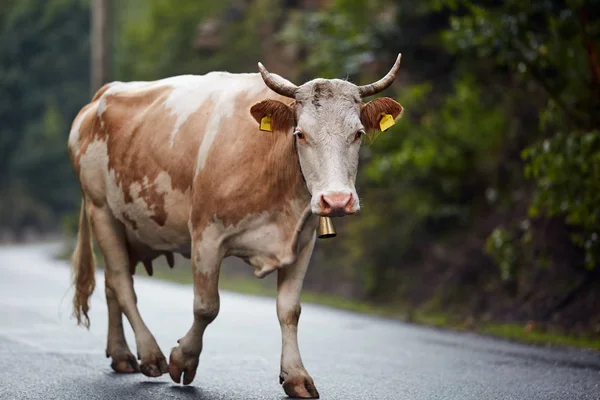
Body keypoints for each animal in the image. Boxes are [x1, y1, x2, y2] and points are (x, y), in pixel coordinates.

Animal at [67, 54, 404, 398]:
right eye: (300, 133)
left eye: (358, 133)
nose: (336, 200)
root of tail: (100, 97)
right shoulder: (206, 235)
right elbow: (206, 306)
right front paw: (183, 359)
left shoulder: (303, 242)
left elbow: (289, 309)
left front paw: (296, 376)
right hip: (101, 210)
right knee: (121, 282)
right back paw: (150, 355)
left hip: (130, 228)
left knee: (112, 283)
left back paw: (121, 354)